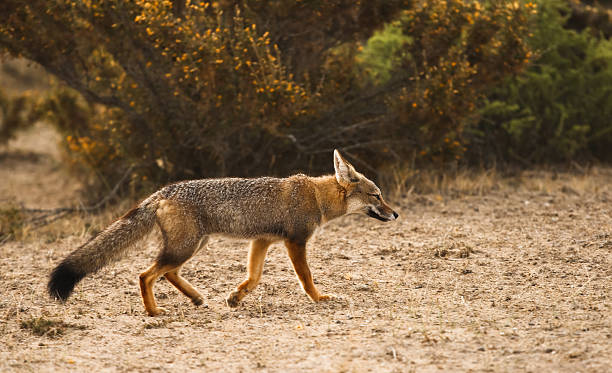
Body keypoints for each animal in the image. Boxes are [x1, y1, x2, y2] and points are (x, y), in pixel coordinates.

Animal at [47, 148, 396, 314]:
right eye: (377, 195)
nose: (395, 213)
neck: (315, 195)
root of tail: (163, 191)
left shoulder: (262, 241)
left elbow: (254, 278)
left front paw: (235, 297)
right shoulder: (295, 242)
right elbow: (307, 277)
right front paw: (320, 298)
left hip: (194, 246)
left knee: (167, 273)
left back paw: (197, 298)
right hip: (185, 247)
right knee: (146, 274)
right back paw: (154, 311)